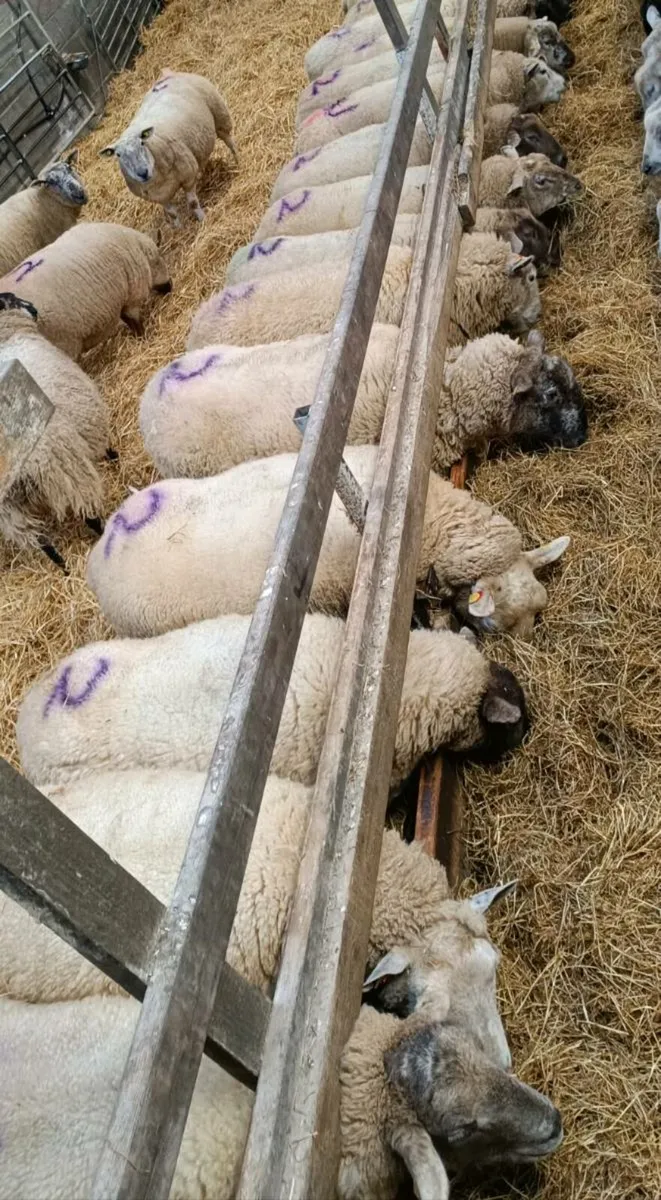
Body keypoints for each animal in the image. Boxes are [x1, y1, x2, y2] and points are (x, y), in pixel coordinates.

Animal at [0, 222, 171, 360]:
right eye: (159, 259)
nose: (170, 288)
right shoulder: (133, 295)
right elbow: (134, 321)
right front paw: (143, 339)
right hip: (64, 342)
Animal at [0, 293, 110, 565]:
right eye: (9, 299)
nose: (34, 309)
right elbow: (104, 444)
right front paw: (113, 456)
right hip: (62, 467)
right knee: (89, 514)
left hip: (8, 509)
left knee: (40, 541)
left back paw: (64, 567)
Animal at [99, 69, 236, 224]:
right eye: (118, 155)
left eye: (142, 143)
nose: (142, 173)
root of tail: (167, 73)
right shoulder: (160, 197)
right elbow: (172, 214)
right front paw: (179, 228)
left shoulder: (188, 177)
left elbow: (193, 203)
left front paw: (202, 220)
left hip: (220, 116)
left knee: (230, 143)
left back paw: (239, 163)